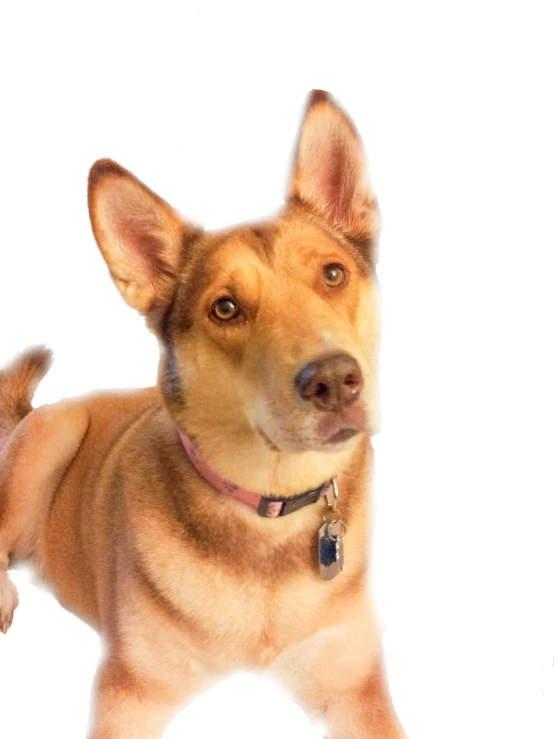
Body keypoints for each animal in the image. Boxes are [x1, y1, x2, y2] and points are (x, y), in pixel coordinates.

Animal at [0, 89, 406, 736]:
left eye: (333, 274)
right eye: (226, 308)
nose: (335, 381)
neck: (268, 514)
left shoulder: (356, 686)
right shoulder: (129, 694)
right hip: (49, 439)